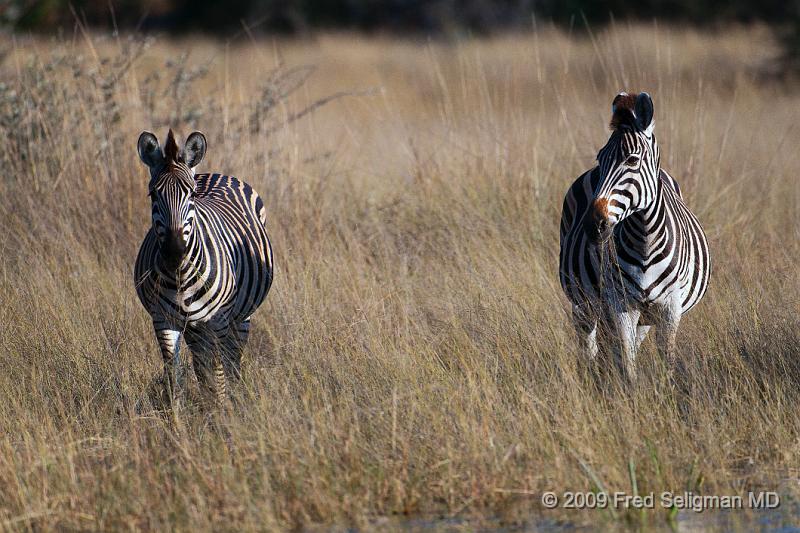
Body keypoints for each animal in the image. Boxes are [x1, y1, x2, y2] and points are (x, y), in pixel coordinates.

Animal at [134, 130, 276, 408]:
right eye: (153, 195)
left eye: (191, 195)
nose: (174, 253)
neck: (180, 276)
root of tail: (215, 173)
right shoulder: (163, 320)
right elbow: (173, 377)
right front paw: (176, 418)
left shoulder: (217, 319)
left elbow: (218, 374)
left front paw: (222, 412)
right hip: (194, 326)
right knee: (201, 364)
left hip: (239, 317)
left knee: (232, 362)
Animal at [560, 92, 708, 382]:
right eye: (600, 158)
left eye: (631, 160)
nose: (593, 225)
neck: (645, 239)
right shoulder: (621, 304)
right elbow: (626, 366)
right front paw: (629, 392)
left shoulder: (669, 308)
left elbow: (666, 363)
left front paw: (665, 392)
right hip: (584, 303)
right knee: (589, 348)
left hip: (643, 317)